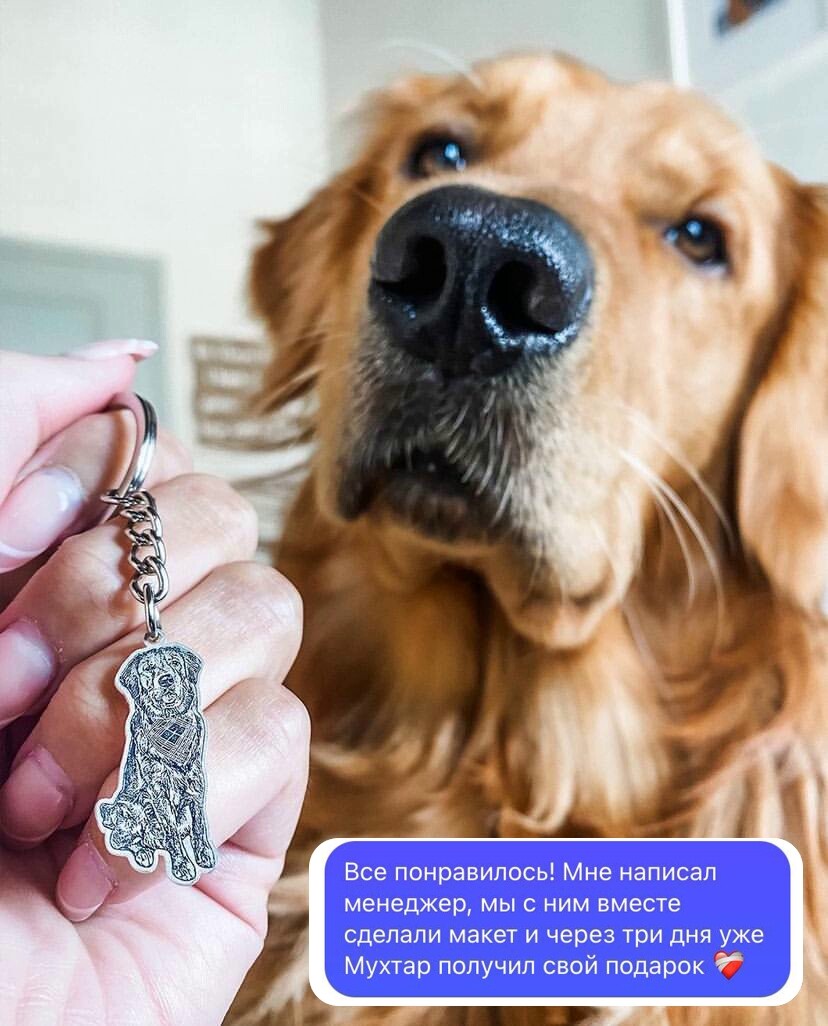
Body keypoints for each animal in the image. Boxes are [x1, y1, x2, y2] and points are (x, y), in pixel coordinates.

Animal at [98, 643, 216, 884]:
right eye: (149, 669)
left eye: (175, 663)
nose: (166, 679)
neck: (171, 727)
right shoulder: (158, 791)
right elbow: (171, 832)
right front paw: (182, 865)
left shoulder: (196, 784)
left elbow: (200, 826)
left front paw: (204, 855)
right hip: (132, 810)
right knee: (118, 839)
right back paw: (143, 853)